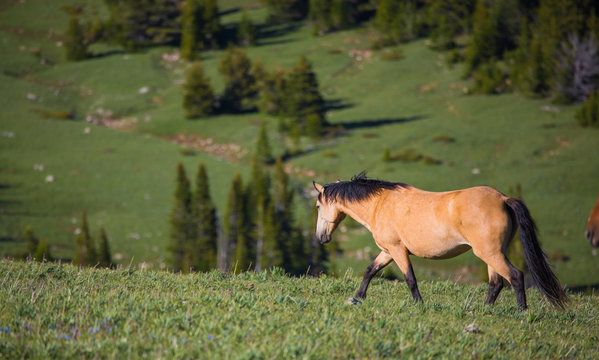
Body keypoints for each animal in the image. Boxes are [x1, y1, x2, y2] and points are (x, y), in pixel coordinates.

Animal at [312, 173, 568, 310]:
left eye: (317, 206)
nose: (321, 238)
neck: (380, 204)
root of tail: (503, 199)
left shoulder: (397, 250)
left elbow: (410, 279)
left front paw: (419, 304)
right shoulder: (387, 251)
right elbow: (369, 271)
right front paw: (358, 297)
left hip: (491, 253)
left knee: (515, 276)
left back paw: (522, 311)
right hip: (491, 253)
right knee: (496, 283)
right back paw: (485, 310)